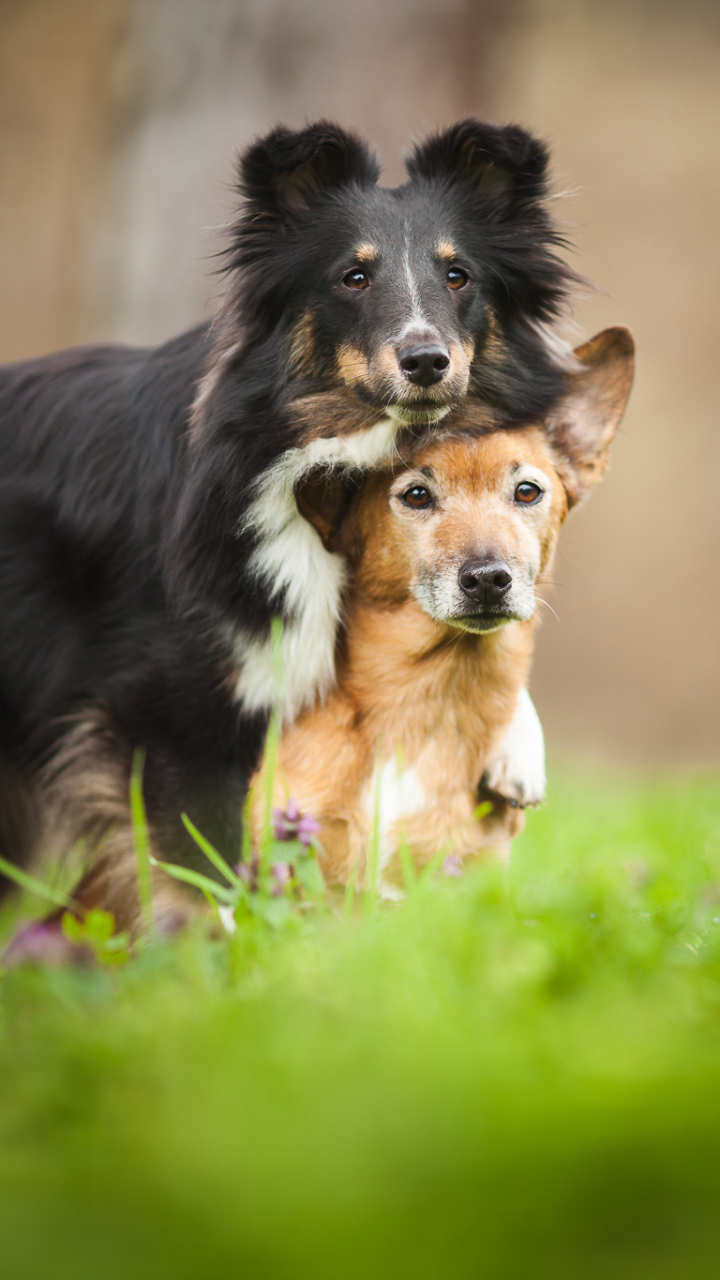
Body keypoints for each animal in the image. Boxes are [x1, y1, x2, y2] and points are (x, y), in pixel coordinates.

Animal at [0, 117, 571, 921]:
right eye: (352, 277)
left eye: (459, 276)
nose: (426, 360)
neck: (327, 460)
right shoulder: (166, 708)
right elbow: (207, 879)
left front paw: (516, 750)